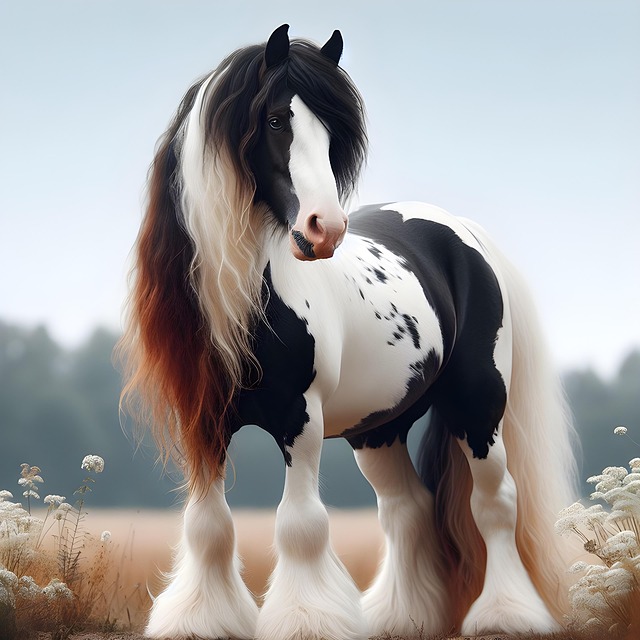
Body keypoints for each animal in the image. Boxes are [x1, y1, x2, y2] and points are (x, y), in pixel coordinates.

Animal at [119, 24, 578, 640]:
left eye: (331, 131)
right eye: (275, 120)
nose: (326, 229)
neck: (246, 295)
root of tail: (461, 232)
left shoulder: (301, 418)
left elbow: (300, 525)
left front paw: (306, 620)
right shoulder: (205, 424)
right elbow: (208, 526)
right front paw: (202, 620)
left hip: (478, 406)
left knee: (495, 505)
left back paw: (508, 615)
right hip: (378, 430)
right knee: (406, 509)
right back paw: (401, 618)